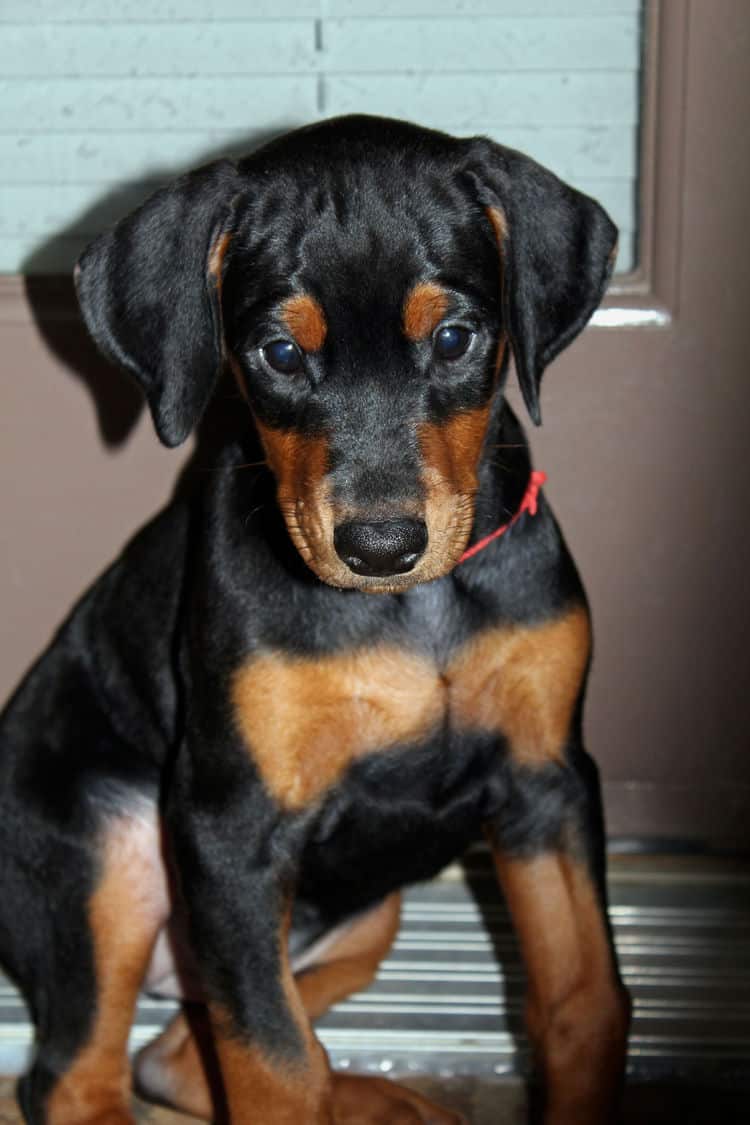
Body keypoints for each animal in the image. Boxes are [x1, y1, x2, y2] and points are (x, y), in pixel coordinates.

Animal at [0, 116, 629, 1125]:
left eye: (456, 337)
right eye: (280, 354)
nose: (380, 545)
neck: (411, 612)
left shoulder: (547, 781)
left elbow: (585, 999)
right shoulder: (228, 826)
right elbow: (273, 1064)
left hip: (365, 912)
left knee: (176, 1051)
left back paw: (391, 1102)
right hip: (109, 850)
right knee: (77, 1072)